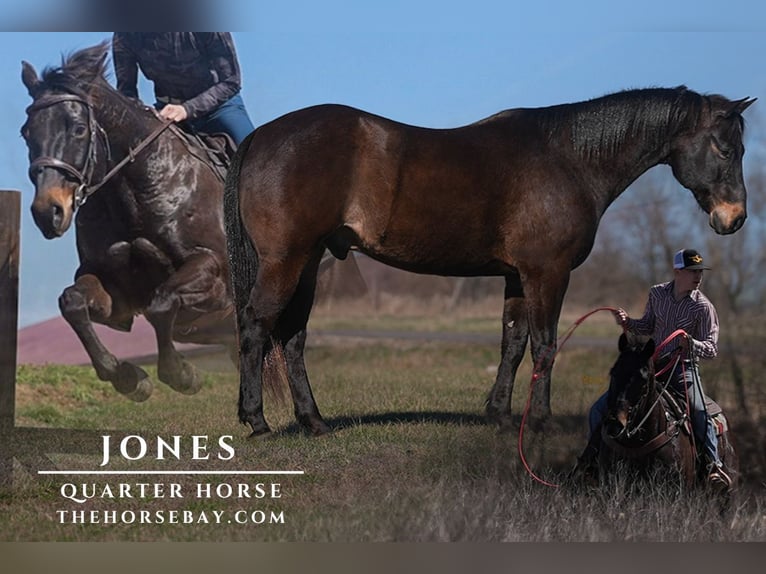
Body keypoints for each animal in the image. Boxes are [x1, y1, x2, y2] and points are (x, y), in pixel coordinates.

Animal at [20, 41, 236, 401]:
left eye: (79, 129)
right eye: (26, 133)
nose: (47, 213)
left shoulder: (214, 273)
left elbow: (161, 303)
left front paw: (182, 375)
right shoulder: (115, 293)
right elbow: (72, 302)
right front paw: (128, 378)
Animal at [223, 86, 755, 437]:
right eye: (725, 147)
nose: (734, 218)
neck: (568, 159)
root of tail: (262, 136)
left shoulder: (516, 277)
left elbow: (512, 344)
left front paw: (499, 414)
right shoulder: (547, 274)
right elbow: (545, 346)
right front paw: (539, 421)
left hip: (309, 263)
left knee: (292, 338)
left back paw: (313, 421)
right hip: (286, 260)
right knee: (254, 325)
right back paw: (257, 420)